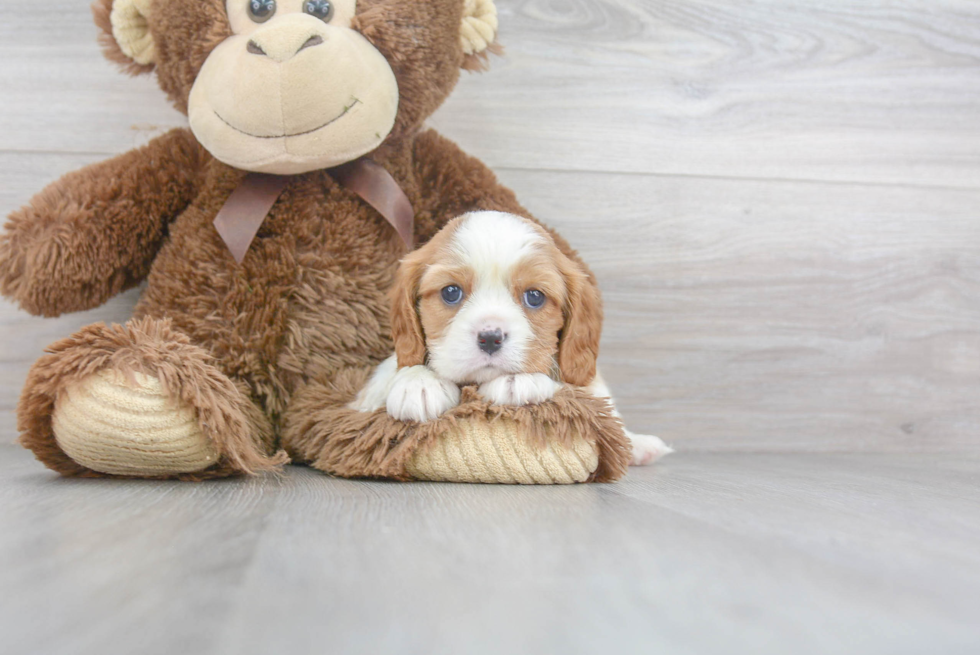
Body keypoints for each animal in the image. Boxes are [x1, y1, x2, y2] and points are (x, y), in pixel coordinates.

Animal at [350, 211, 672, 466]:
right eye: (451, 292)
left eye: (534, 296)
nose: (490, 338)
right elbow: (397, 367)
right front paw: (419, 383)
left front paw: (518, 380)